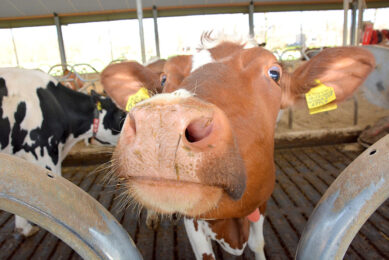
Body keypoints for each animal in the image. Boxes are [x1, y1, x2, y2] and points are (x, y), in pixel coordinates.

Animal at [100, 35, 372, 260]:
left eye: (274, 73)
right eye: (164, 78)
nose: (162, 120)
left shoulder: (261, 202)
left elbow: (258, 244)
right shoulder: (194, 220)